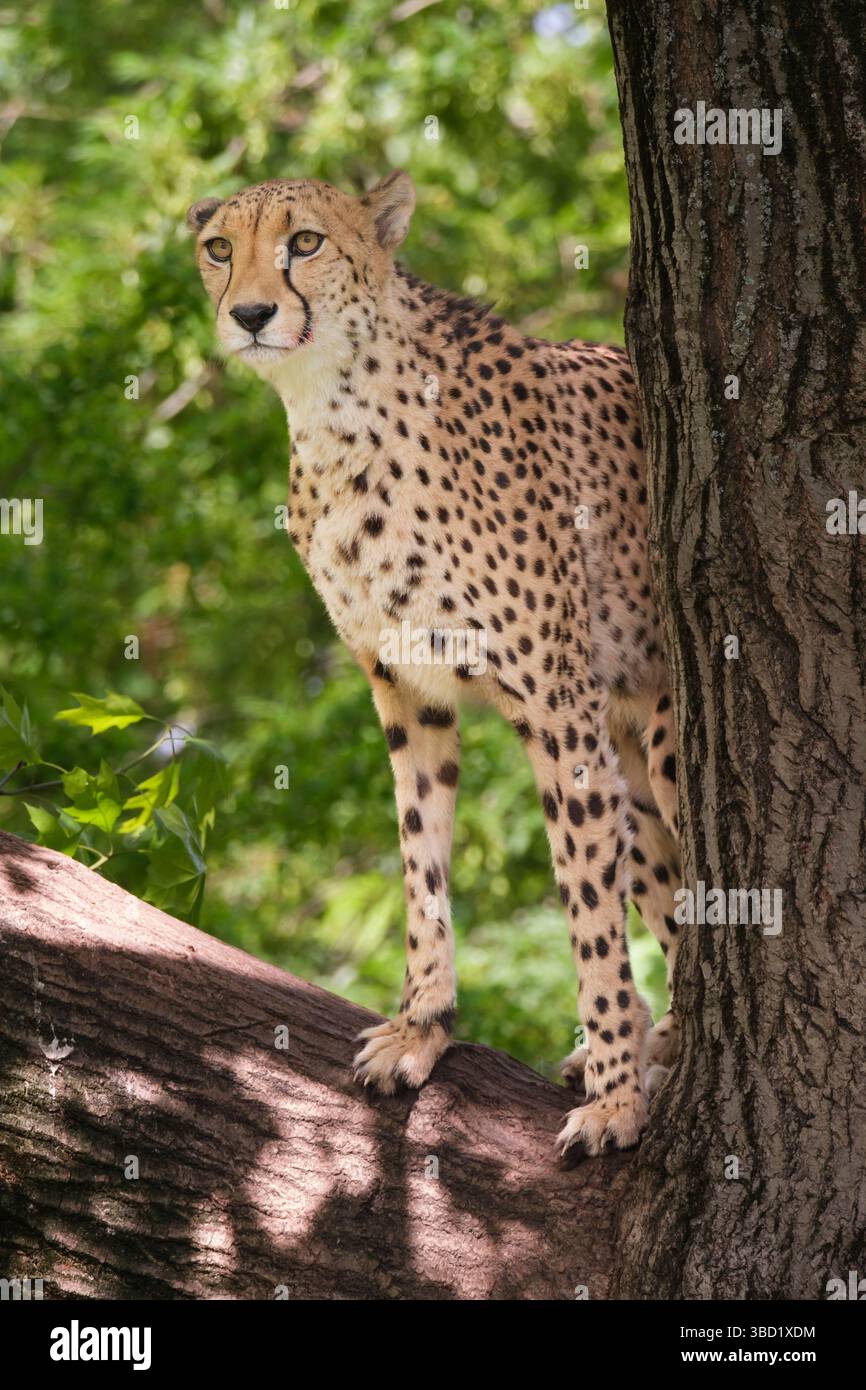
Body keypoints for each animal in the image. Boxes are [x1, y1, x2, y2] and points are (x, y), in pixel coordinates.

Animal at [187, 170, 682, 1157]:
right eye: (220, 248)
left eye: (304, 242)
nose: (252, 313)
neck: (334, 412)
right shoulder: (407, 688)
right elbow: (421, 859)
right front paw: (424, 1026)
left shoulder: (556, 704)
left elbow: (588, 914)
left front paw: (614, 1095)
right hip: (631, 766)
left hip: (664, 739)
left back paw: (649, 1050)